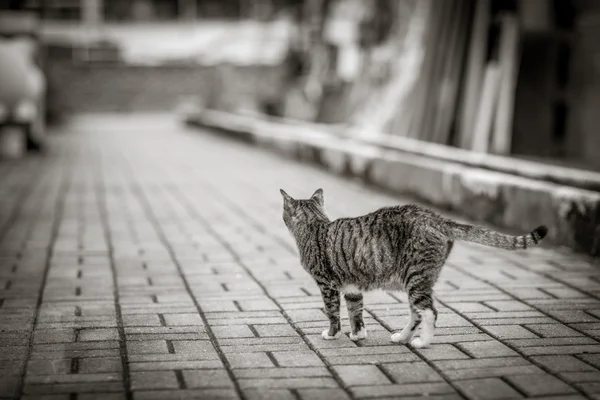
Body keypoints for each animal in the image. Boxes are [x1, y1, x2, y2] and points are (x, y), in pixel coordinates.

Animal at [282, 188, 548, 346]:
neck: (315, 224)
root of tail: (436, 218)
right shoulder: (352, 287)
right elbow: (356, 312)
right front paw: (358, 334)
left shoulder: (326, 284)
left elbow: (332, 312)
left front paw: (332, 334)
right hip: (416, 280)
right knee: (416, 313)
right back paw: (402, 337)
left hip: (415, 276)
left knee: (429, 311)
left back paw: (422, 342)